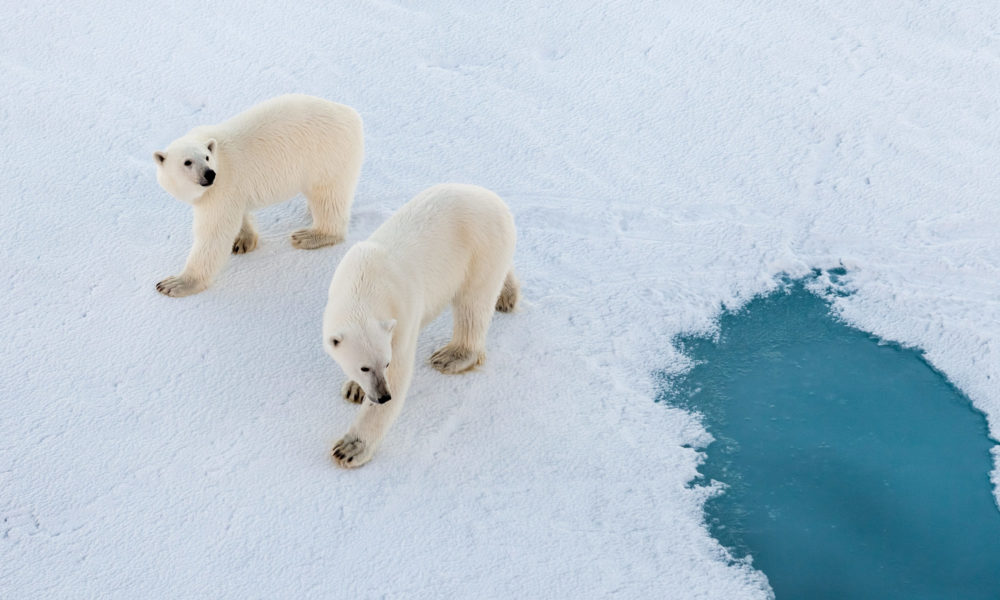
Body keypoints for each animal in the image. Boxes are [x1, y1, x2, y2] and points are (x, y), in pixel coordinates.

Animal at [152, 94, 364, 298]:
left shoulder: (221, 187)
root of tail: (352, 115)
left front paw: (175, 284)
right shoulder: (232, 190)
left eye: (206, 157)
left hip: (327, 157)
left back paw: (310, 235)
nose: (209, 174)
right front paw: (243, 241)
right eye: (187, 162)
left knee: (328, 197)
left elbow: (214, 233)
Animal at [324, 183, 520, 468]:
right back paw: (508, 295)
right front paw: (354, 389)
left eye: (385, 363)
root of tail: (496, 200)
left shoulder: (402, 317)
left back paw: (452, 355)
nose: (383, 396)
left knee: (472, 303)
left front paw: (350, 448)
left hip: (481, 246)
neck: (365, 282)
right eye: (364, 367)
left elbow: (400, 373)